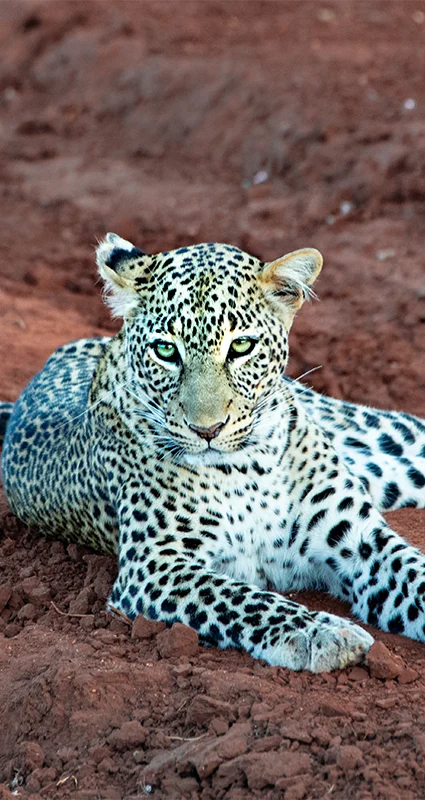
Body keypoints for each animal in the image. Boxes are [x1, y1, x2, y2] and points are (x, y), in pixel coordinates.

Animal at [1, 233, 425, 672]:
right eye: (165, 351)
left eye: (241, 347)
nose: (207, 430)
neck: (249, 468)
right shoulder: (154, 566)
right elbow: (243, 600)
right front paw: (322, 632)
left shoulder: (357, 534)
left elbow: (412, 575)